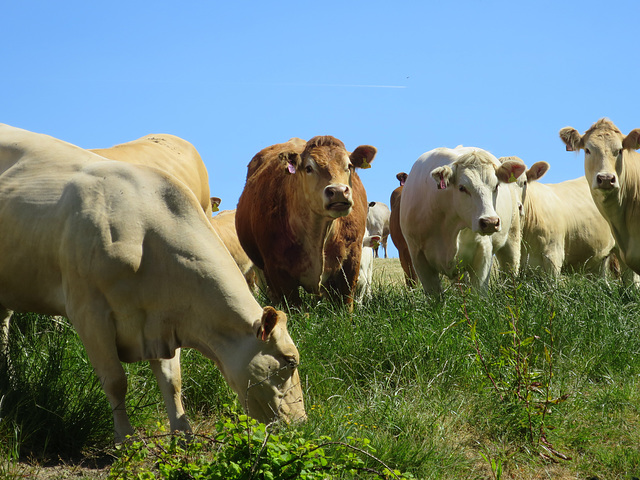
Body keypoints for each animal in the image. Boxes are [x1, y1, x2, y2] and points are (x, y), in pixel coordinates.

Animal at [0, 124, 306, 442]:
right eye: (290, 361)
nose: (301, 422)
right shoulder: (89, 313)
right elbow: (115, 380)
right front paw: (124, 438)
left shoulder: (163, 317)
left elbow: (172, 381)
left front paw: (184, 435)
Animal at [400, 146, 524, 294]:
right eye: (462, 188)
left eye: (496, 186)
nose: (490, 222)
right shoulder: (418, 257)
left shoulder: (483, 252)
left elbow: (479, 292)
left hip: (512, 237)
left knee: (510, 269)